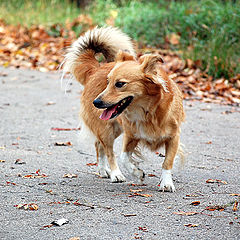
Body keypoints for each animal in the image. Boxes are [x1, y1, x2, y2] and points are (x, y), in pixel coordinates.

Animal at [62, 26, 185, 191]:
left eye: (120, 84)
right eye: (107, 82)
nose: (96, 102)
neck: (148, 112)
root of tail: (96, 69)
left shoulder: (173, 137)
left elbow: (167, 162)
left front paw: (166, 182)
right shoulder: (130, 135)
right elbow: (123, 157)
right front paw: (137, 172)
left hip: (114, 129)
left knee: (99, 146)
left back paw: (104, 170)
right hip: (106, 129)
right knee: (107, 150)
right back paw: (114, 173)